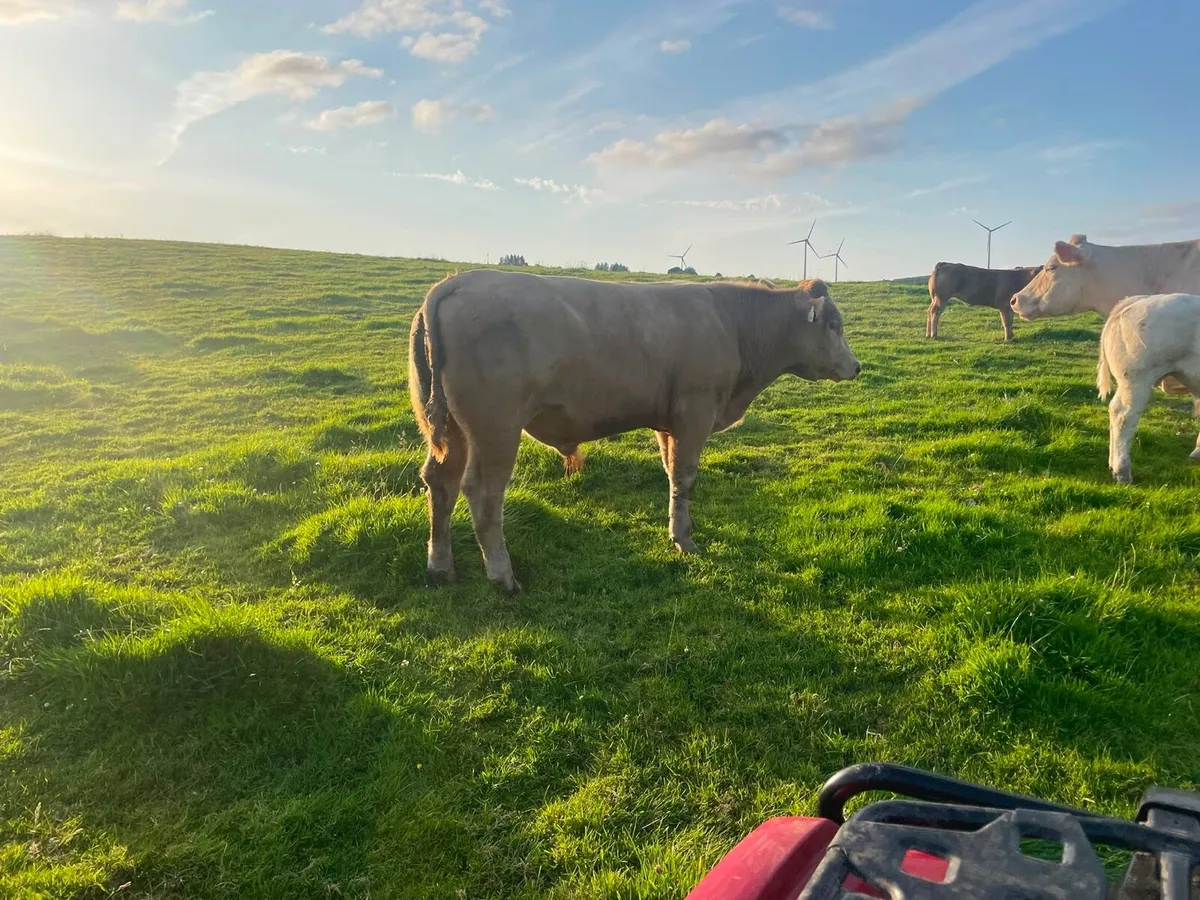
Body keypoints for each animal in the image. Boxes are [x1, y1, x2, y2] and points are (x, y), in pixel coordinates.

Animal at [408, 270, 861, 593]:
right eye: (833, 325)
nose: (856, 366)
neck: (733, 324)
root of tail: (457, 280)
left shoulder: (669, 422)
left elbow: (671, 473)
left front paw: (679, 528)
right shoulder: (695, 412)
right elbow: (686, 476)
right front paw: (684, 540)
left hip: (454, 431)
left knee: (441, 483)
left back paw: (439, 566)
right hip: (495, 429)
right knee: (483, 493)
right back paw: (503, 576)